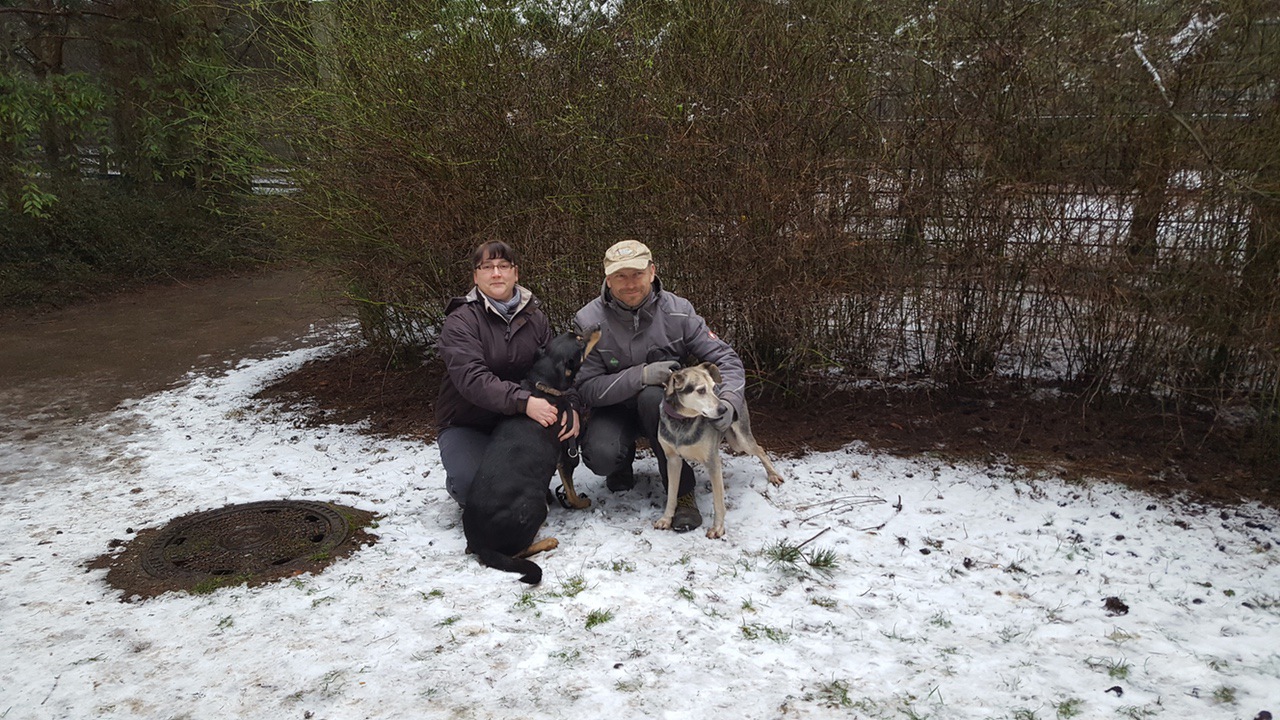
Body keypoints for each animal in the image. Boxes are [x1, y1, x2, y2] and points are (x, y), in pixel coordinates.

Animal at [462, 329, 600, 584]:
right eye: (579, 340)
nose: (597, 326)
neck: (543, 386)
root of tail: (480, 544)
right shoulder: (566, 454)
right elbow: (571, 491)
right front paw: (580, 503)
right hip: (535, 505)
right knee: (517, 552)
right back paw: (548, 541)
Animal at [654, 362, 783, 539]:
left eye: (714, 387)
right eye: (701, 390)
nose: (724, 409)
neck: (683, 422)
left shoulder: (712, 461)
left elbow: (718, 501)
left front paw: (718, 528)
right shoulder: (673, 459)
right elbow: (672, 494)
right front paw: (666, 519)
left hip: (740, 441)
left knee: (760, 449)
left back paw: (773, 475)